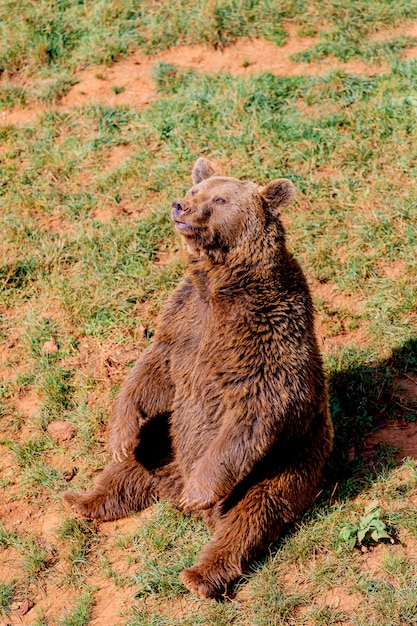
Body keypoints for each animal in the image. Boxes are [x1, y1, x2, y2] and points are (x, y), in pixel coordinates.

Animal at [63, 156, 334, 596]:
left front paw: (200, 492)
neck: (221, 282)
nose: (180, 206)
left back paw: (200, 573)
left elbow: (257, 405)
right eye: (194, 190)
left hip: (284, 464)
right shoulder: (185, 318)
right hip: (168, 442)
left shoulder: (267, 332)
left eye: (220, 198)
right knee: (136, 462)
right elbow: (154, 368)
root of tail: (171, 487)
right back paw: (83, 501)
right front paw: (118, 435)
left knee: (251, 515)